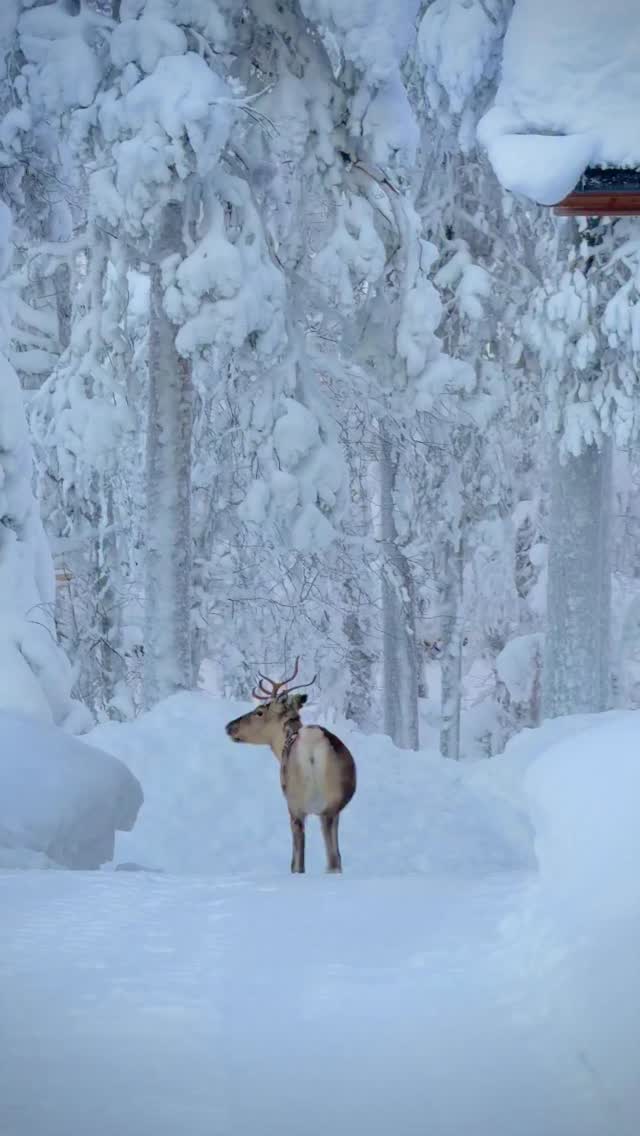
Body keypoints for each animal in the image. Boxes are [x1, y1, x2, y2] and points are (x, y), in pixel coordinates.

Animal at [225, 658, 356, 874]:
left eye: (259, 711)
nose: (229, 726)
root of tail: (313, 742)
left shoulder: (293, 806)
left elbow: (295, 861)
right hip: (332, 805)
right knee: (335, 859)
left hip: (298, 804)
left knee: (306, 862)